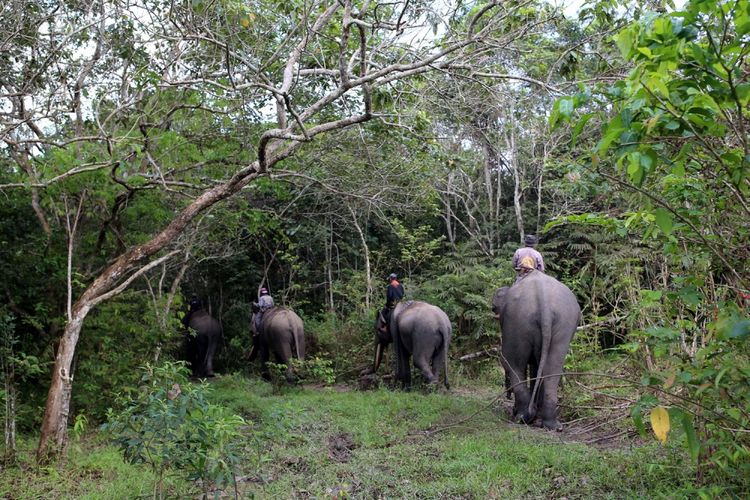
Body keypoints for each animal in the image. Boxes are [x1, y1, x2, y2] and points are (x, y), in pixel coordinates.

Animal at [494, 272, 580, 432]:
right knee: (553, 367)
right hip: (564, 323)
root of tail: (544, 300)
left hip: (517, 321)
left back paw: (523, 417)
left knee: (512, 363)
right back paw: (552, 425)